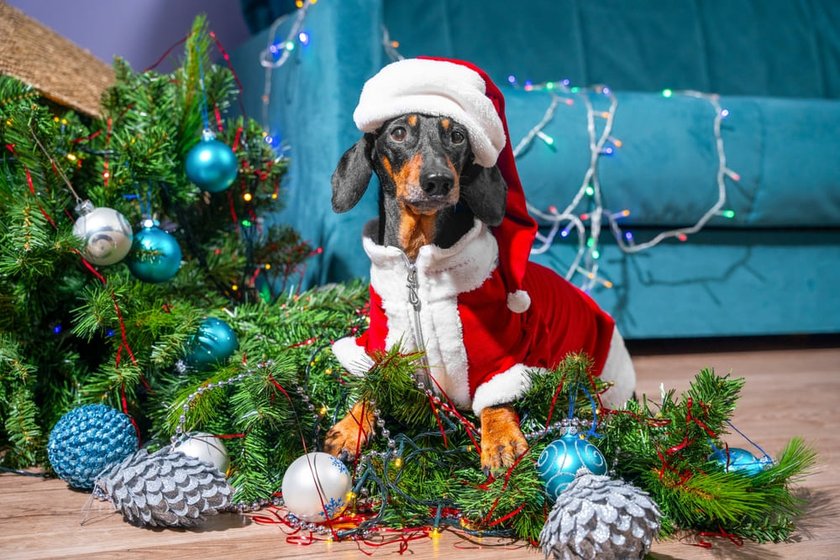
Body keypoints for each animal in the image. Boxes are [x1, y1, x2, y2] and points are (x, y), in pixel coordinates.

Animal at [324, 112, 632, 472]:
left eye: (458, 136)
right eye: (398, 133)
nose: (439, 181)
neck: (415, 263)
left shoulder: (499, 354)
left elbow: (495, 397)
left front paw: (500, 441)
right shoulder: (383, 344)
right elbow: (372, 385)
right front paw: (349, 427)